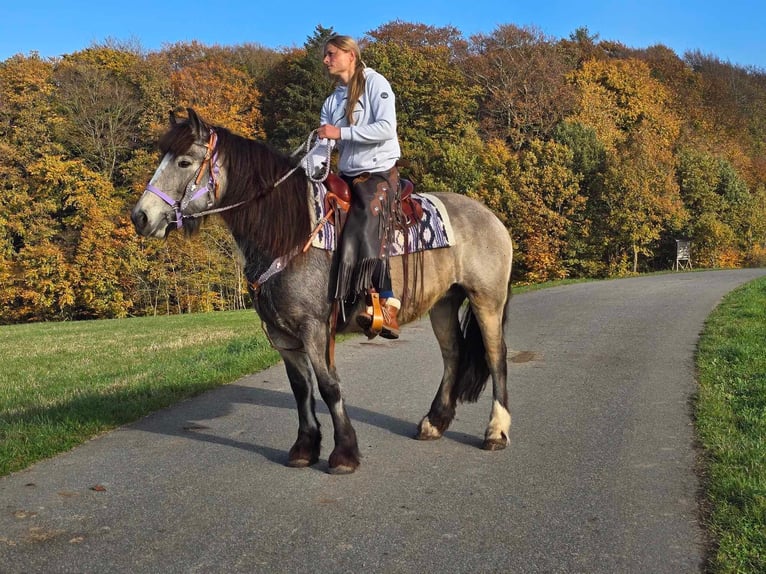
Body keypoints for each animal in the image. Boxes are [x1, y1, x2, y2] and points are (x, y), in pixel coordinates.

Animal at [132, 109, 516, 476]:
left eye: (184, 162)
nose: (141, 216)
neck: (288, 232)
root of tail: (491, 217)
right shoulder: (282, 334)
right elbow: (301, 389)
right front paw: (304, 448)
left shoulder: (314, 327)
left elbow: (329, 386)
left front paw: (344, 452)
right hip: (444, 303)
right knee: (452, 355)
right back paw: (434, 423)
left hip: (486, 300)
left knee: (496, 357)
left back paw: (496, 431)